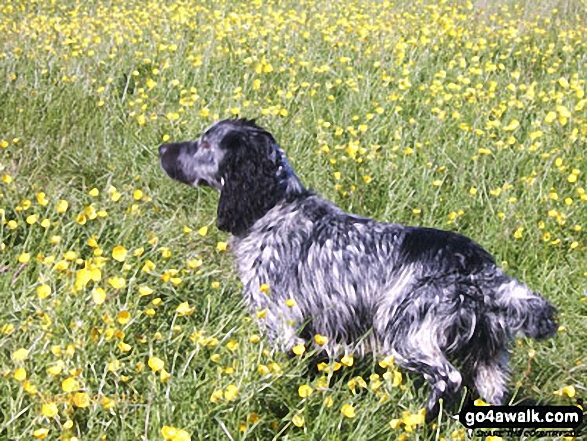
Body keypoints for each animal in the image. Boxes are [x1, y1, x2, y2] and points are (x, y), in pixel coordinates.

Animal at [158, 118, 560, 422]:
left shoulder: (281, 324)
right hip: (489, 360)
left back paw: (417, 421)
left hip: (405, 332)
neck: (275, 208)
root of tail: (479, 270)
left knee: (449, 379)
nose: (162, 149)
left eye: (206, 144)